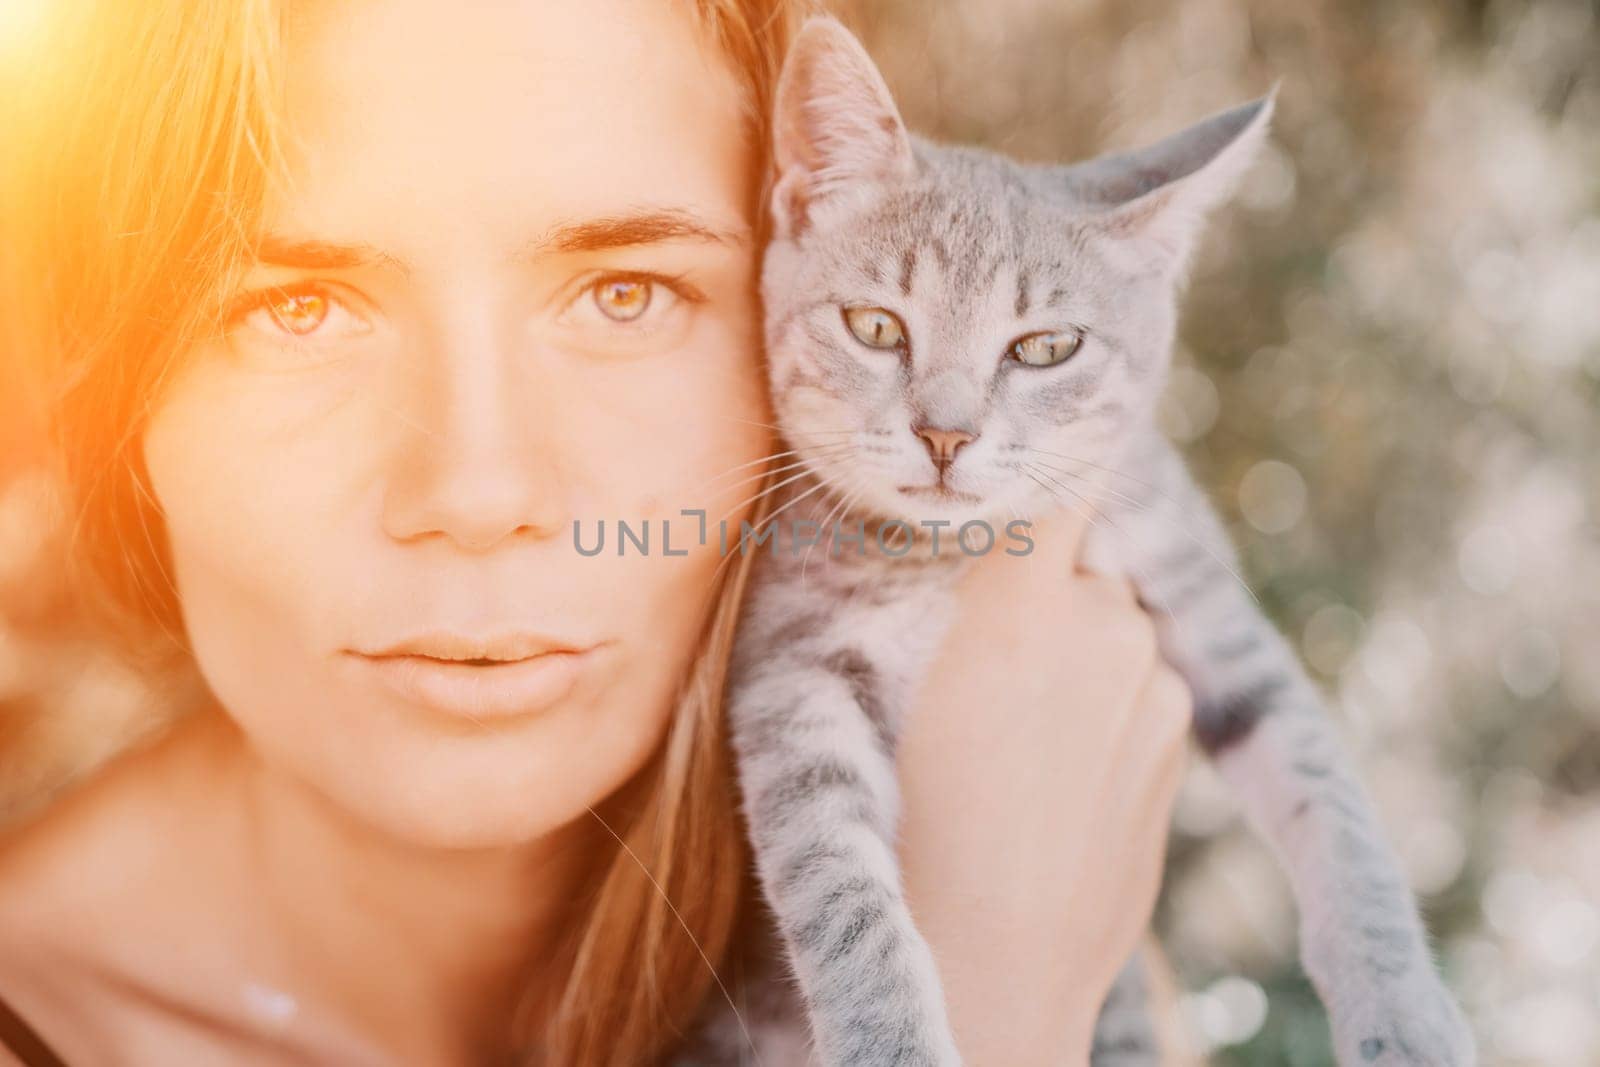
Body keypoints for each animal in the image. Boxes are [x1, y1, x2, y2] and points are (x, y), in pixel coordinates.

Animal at [720, 14, 1465, 1067]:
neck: (962, 553)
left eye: (1045, 347)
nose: (945, 435)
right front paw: (891, 1039)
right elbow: (843, 890)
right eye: (875, 327)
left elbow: (1334, 802)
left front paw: (1403, 1011)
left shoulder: (1207, 605)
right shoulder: (791, 672)